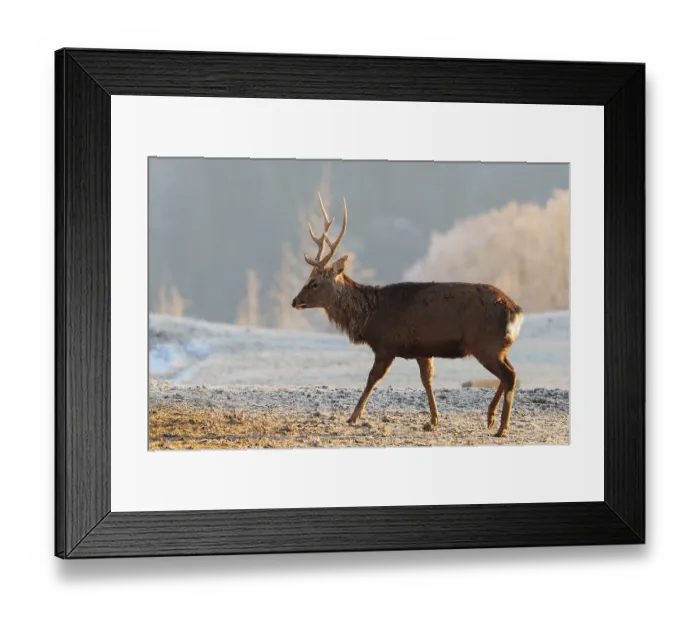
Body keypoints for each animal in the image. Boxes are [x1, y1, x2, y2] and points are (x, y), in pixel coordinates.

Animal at [291, 194, 525, 437]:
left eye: (314, 283)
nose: (295, 301)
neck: (370, 316)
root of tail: (515, 310)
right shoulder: (423, 349)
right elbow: (427, 381)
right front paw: (432, 421)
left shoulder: (386, 345)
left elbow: (372, 379)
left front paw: (353, 417)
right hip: (498, 346)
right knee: (511, 373)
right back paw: (490, 418)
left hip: (484, 344)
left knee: (509, 375)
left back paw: (501, 427)